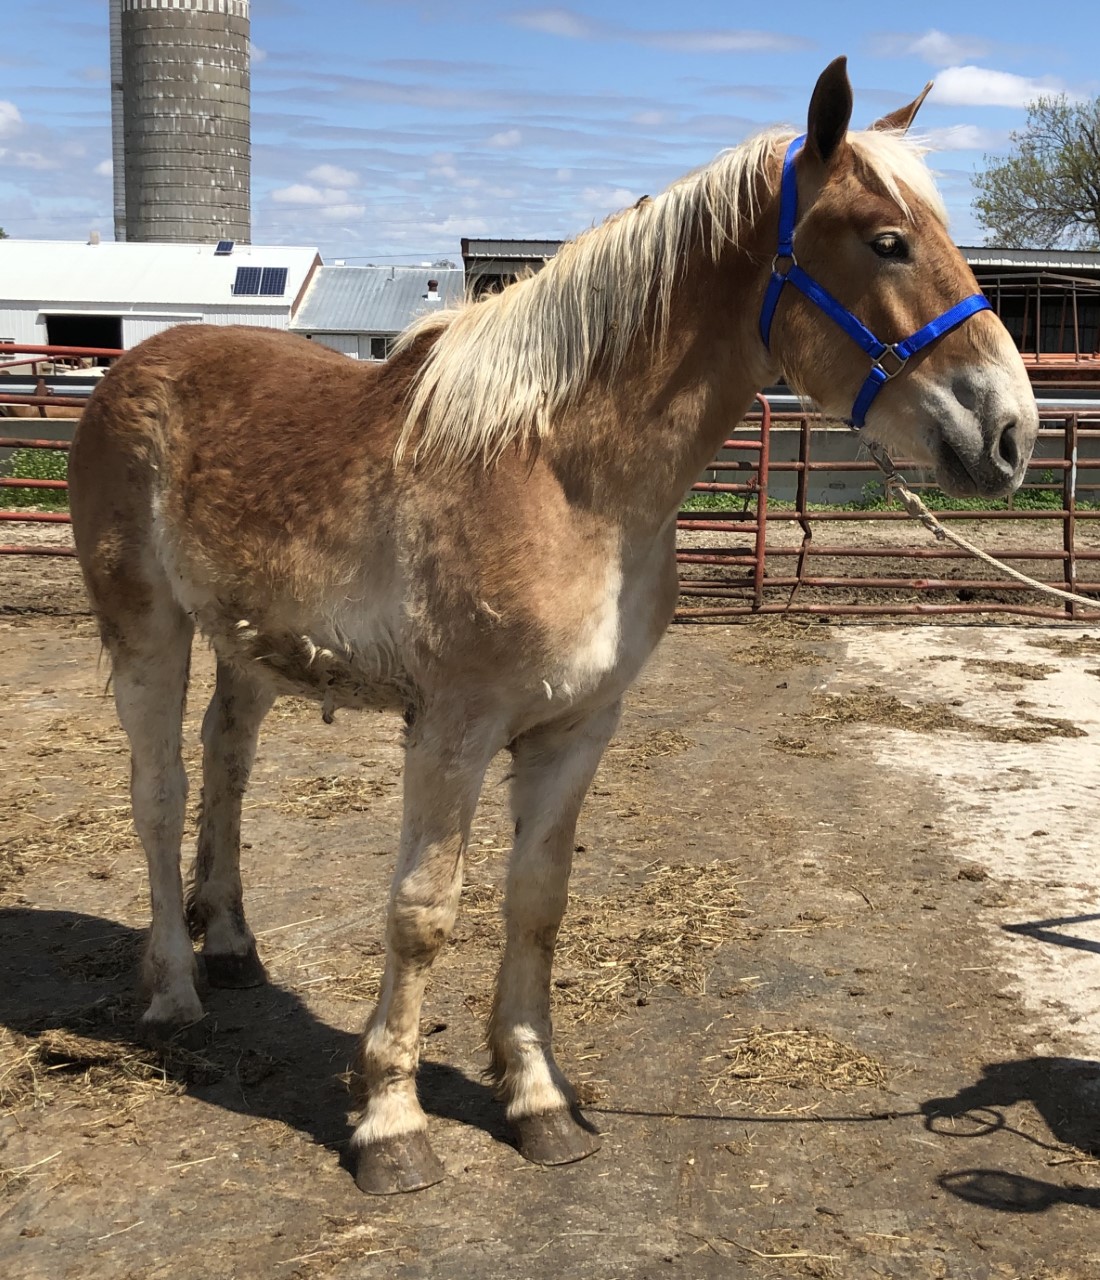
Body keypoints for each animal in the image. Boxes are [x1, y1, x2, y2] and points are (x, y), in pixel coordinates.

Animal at [67, 58, 1038, 1195]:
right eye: (886, 241)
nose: (1010, 433)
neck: (561, 476)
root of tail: (132, 370)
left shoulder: (577, 727)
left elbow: (537, 900)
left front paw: (536, 1100)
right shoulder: (453, 727)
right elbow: (421, 911)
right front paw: (391, 1123)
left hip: (246, 645)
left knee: (227, 762)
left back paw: (228, 940)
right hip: (147, 630)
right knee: (160, 793)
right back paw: (174, 987)